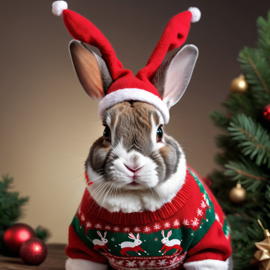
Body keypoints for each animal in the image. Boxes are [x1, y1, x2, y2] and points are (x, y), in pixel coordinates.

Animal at [52, 2, 232, 270]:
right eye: (106, 132)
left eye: (160, 132)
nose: (133, 165)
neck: (135, 203)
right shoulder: (82, 247)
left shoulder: (207, 247)